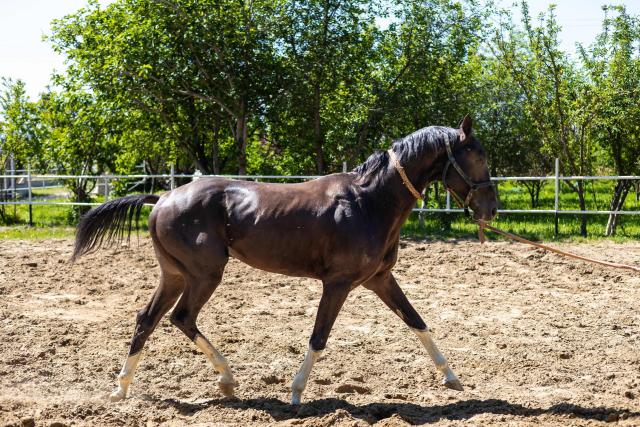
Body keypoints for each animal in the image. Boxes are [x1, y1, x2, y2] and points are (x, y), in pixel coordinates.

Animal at [72, 115, 497, 404]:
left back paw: (124, 389)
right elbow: (319, 337)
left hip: (175, 275)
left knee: (149, 318)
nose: (490, 209)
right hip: (204, 274)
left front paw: (451, 378)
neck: (369, 201)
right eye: (476, 156)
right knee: (181, 318)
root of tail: (162, 198)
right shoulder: (338, 283)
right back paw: (226, 379)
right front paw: (296, 392)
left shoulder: (379, 280)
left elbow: (417, 322)